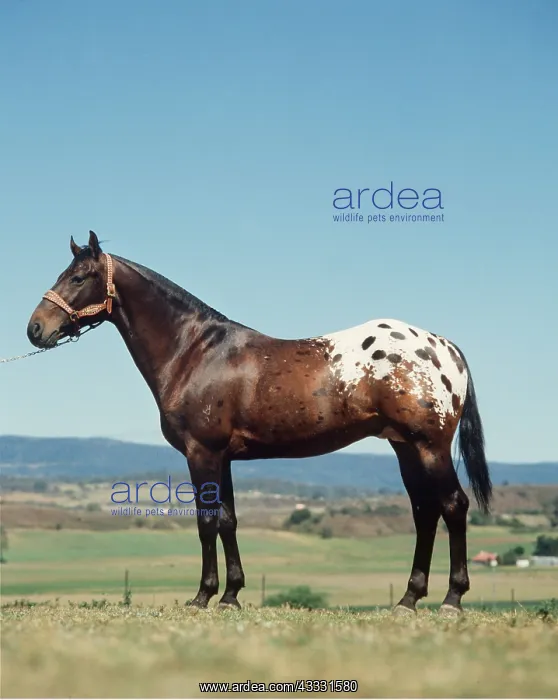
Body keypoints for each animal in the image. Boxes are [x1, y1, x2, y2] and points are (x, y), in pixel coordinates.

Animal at [27, 231, 492, 615]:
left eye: (79, 276)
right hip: (405, 447)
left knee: (453, 505)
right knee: (425, 512)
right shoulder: (224, 458)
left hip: (429, 447)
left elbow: (206, 521)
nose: (35, 328)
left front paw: (202, 596)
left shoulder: (201, 453)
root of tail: (444, 347)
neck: (195, 351)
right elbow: (228, 520)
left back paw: (451, 600)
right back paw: (408, 599)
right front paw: (231, 595)